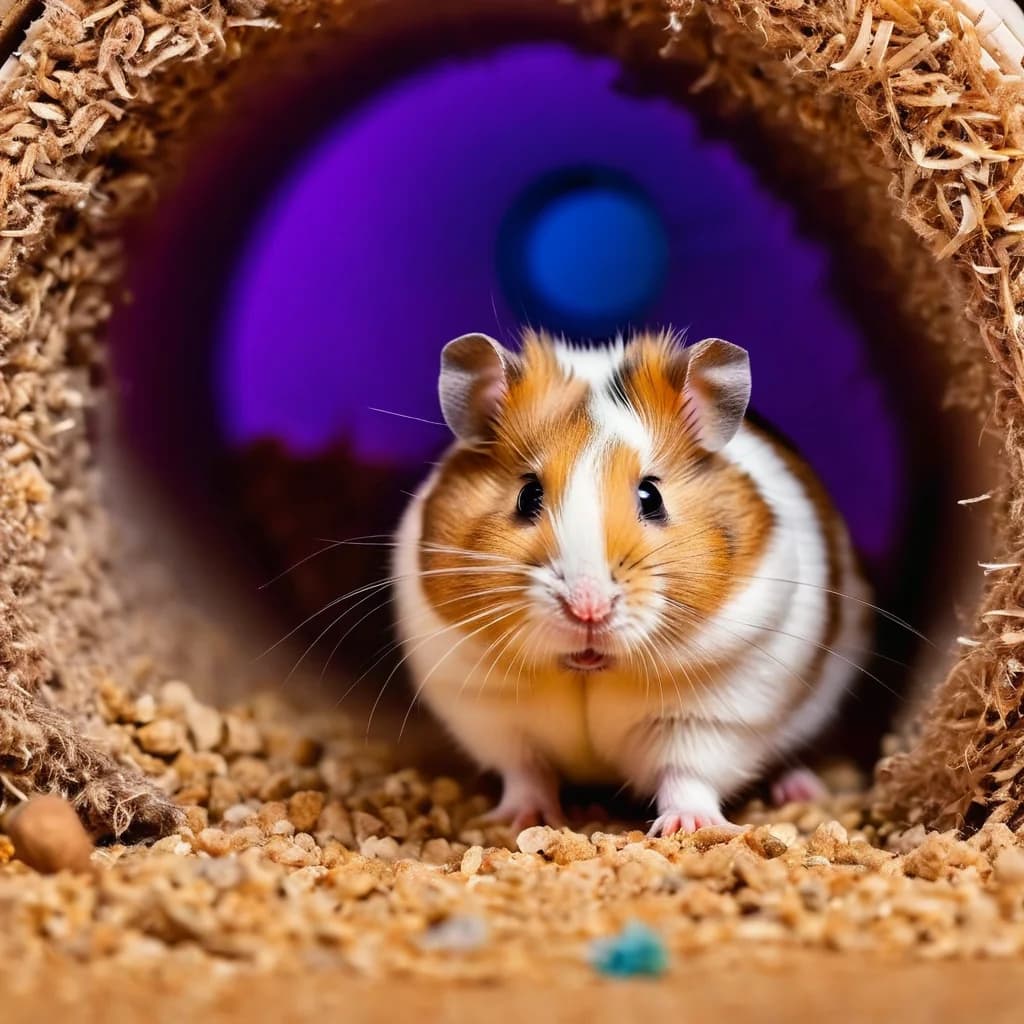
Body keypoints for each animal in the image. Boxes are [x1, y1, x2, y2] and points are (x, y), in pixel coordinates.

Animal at [393, 329, 872, 835]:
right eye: (528, 495)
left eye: (651, 496)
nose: (588, 609)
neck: (587, 670)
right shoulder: (492, 712)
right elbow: (526, 771)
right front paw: (523, 820)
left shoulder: (711, 717)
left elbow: (687, 775)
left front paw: (688, 829)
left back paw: (799, 789)